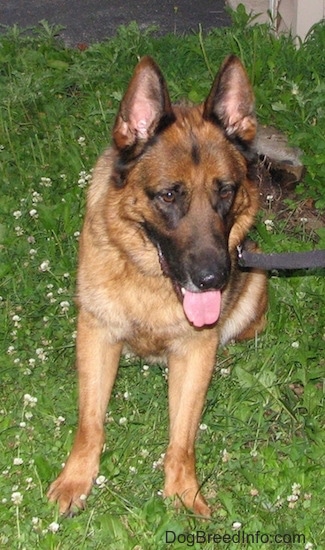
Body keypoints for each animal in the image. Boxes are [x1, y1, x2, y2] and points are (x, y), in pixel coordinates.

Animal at [47, 55, 266, 516]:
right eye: (168, 195)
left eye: (226, 191)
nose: (214, 279)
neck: (151, 278)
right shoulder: (96, 334)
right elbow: (90, 423)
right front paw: (76, 478)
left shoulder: (195, 352)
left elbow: (182, 438)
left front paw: (183, 493)